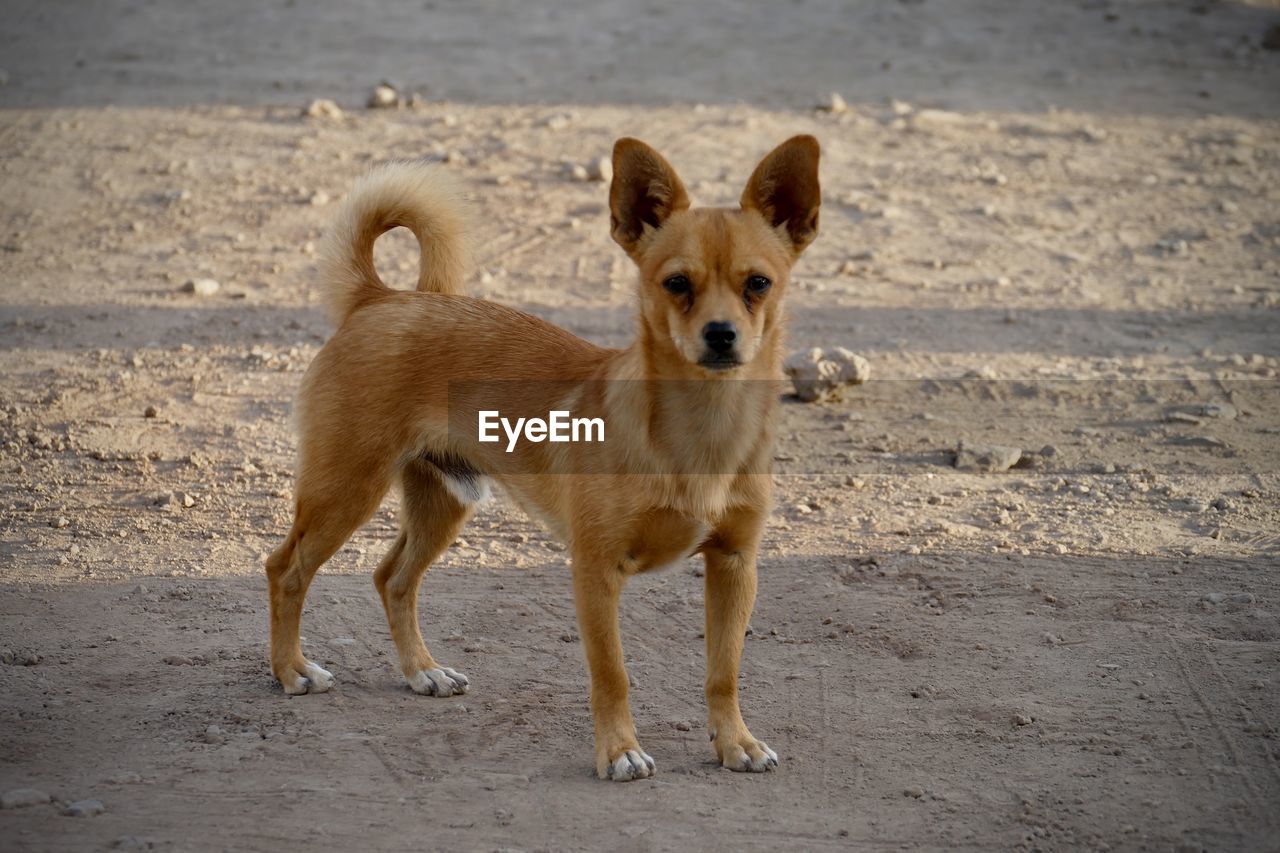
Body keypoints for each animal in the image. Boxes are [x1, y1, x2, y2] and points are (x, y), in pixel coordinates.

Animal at [266, 133, 824, 778]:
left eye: (758, 283)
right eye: (676, 283)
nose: (720, 334)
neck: (700, 431)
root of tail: (380, 299)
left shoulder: (735, 565)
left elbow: (724, 672)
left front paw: (736, 742)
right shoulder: (596, 571)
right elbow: (612, 674)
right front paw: (620, 751)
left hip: (443, 503)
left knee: (392, 578)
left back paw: (422, 671)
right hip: (345, 490)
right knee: (285, 569)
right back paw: (291, 671)